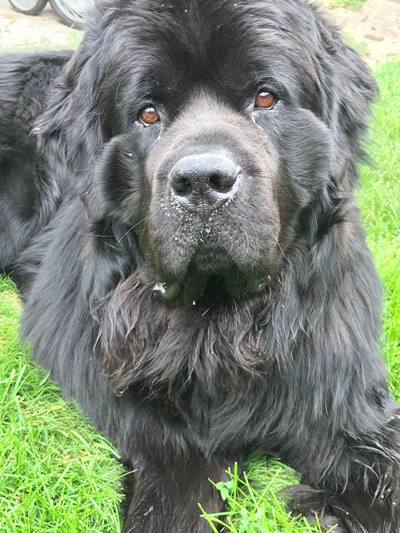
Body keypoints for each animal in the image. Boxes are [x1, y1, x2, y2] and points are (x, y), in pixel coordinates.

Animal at [0, 1, 400, 532]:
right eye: (147, 112)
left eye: (265, 97)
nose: (202, 181)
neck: (219, 326)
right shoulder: (172, 445)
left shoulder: (347, 405)